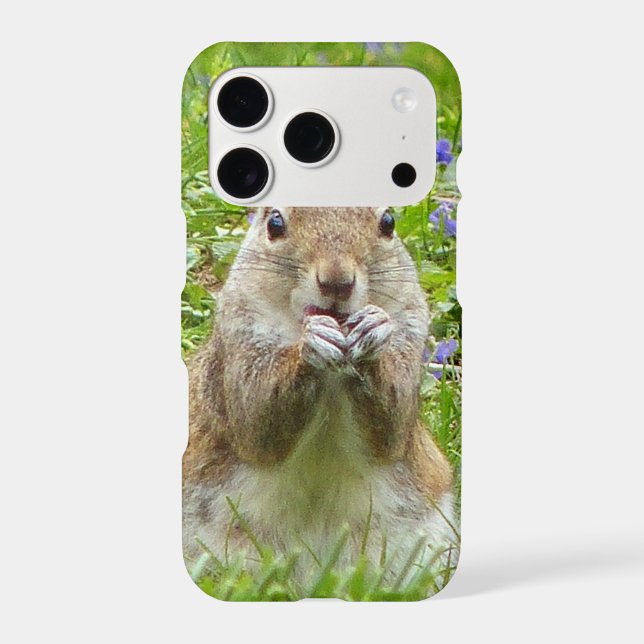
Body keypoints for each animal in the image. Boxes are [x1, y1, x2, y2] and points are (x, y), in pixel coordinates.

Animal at [183, 206, 456, 578]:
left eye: (388, 223)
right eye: (274, 223)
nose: (336, 282)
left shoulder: (410, 331)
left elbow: (392, 428)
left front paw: (371, 329)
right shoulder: (236, 341)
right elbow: (256, 423)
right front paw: (311, 345)